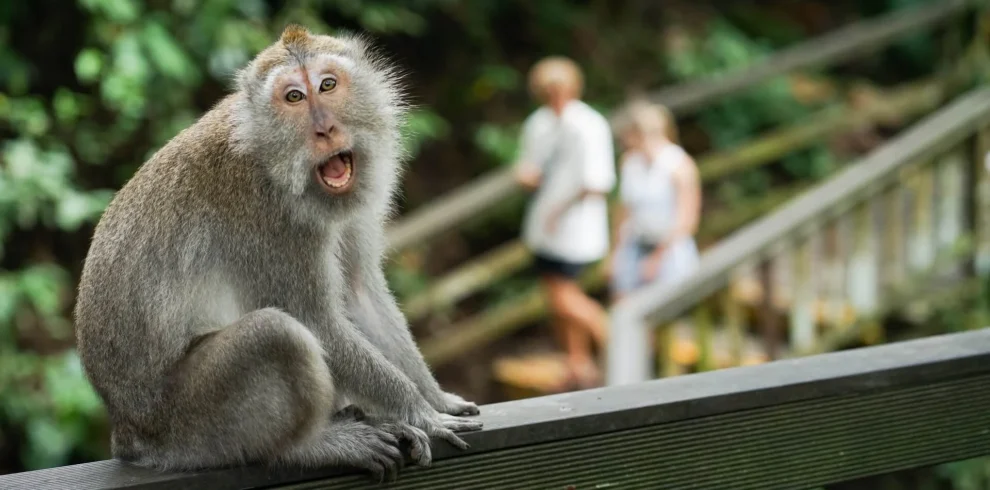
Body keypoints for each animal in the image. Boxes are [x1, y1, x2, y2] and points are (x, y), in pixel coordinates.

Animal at [71, 23, 482, 482]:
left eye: (327, 85)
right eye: (294, 97)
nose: (325, 130)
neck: (273, 160)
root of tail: (127, 431)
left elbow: (360, 293)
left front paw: (437, 398)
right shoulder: (269, 221)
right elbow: (316, 323)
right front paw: (418, 411)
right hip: (189, 424)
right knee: (276, 335)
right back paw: (312, 447)